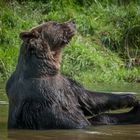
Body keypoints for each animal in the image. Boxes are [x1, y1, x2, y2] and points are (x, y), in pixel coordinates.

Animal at [5, 20, 140, 129]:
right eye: (55, 23)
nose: (73, 22)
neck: (46, 67)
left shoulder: (67, 86)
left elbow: (89, 99)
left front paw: (131, 98)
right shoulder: (48, 94)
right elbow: (81, 115)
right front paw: (133, 105)